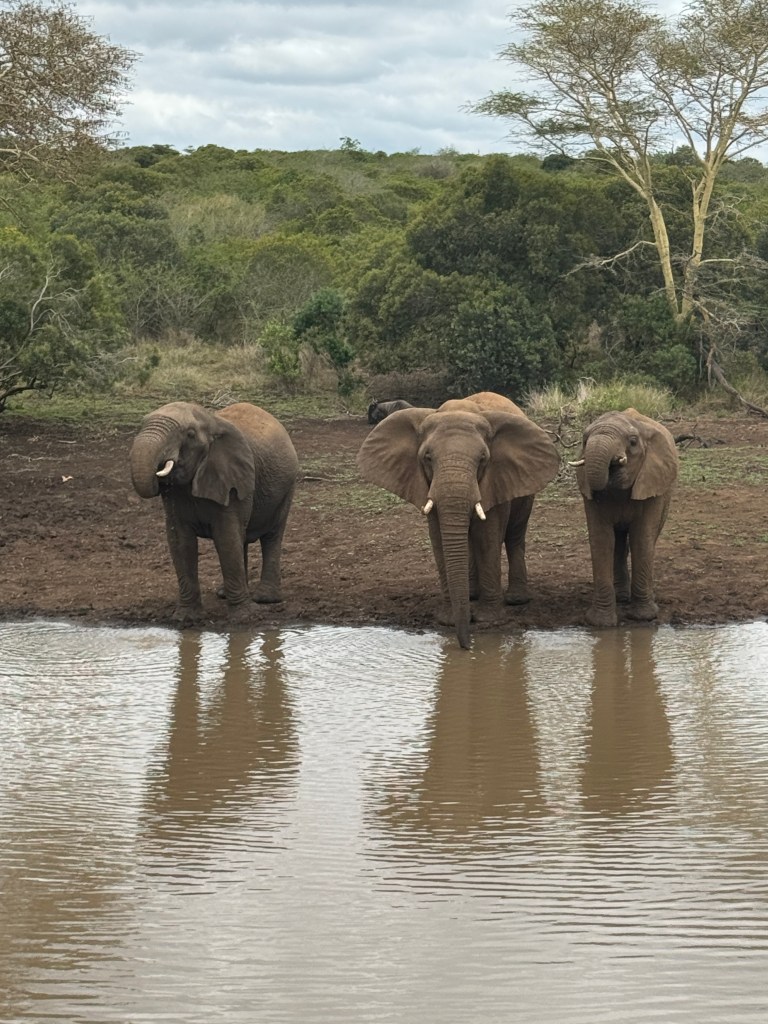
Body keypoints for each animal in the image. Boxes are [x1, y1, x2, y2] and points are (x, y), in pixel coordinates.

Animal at [130, 401, 298, 623]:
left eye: (190, 434)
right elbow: (180, 543)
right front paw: (185, 618)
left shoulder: (231, 477)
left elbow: (226, 538)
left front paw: (243, 618)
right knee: (242, 537)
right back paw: (224, 594)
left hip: (287, 486)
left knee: (271, 535)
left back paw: (265, 599)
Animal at [357, 391, 560, 648]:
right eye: (427, 458)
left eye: (483, 459)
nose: (467, 646)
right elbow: (439, 539)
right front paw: (449, 619)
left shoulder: (496, 477)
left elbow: (488, 537)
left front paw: (487, 619)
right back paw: (471, 594)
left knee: (515, 534)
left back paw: (515, 599)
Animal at [569, 407, 679, 627]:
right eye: (584, 441)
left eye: (633, 442)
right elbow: (602, 539)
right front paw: (601, 623)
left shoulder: (651, 484)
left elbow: (642, 538)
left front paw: (644, 617)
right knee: (619, 543)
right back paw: (621, 598)